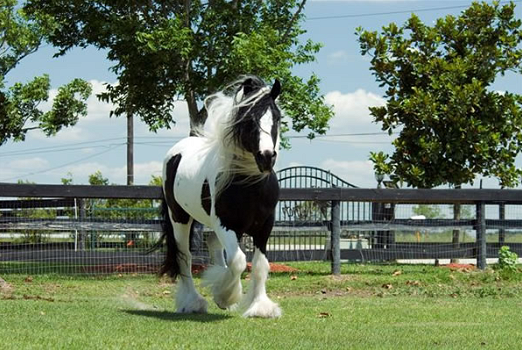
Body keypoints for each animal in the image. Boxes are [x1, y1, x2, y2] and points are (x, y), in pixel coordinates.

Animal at [157, 76, 280, 318]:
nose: (267, 157)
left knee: (213, 244)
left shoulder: (264, 226)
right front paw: (225, 297)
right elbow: (238, 261)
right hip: (179, 218)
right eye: (249, 119)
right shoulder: (225, 223)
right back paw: (192, 302)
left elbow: (260, 266)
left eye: (277, 118)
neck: (249, 183)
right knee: (184, 257)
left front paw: (260, 307)